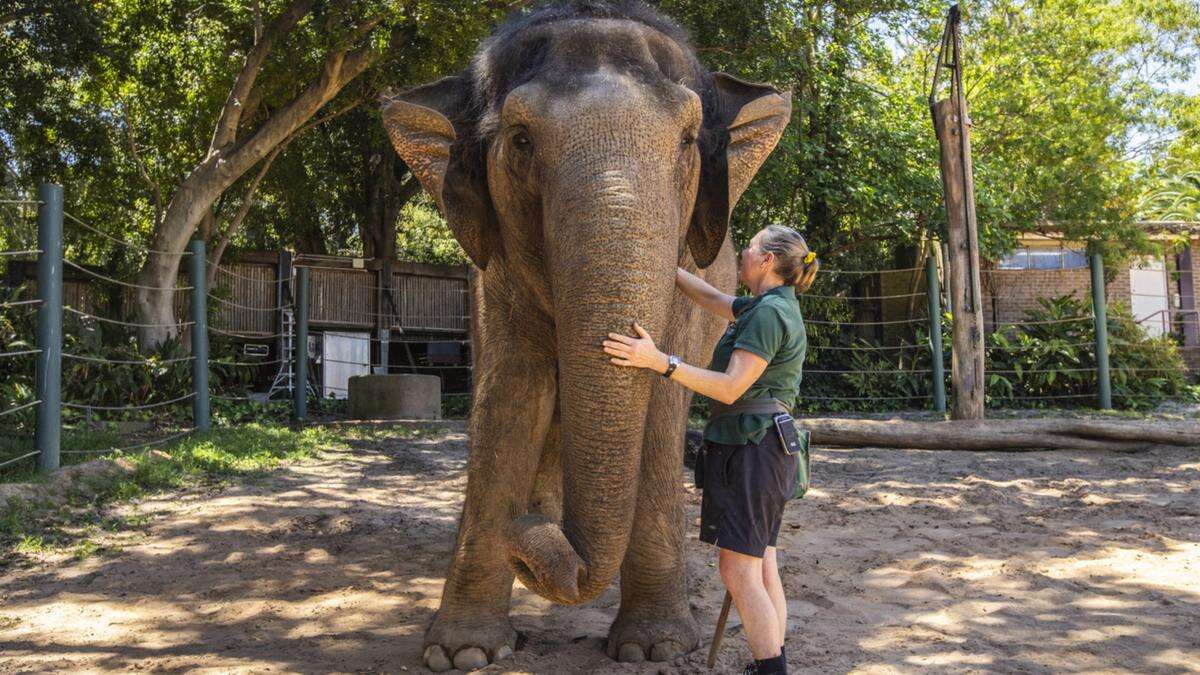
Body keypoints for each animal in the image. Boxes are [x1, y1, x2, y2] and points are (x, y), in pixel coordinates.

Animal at [381, 2, 787, 667]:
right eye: (521, 140)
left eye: (686, 141)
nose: (529, 544)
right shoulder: (496, 283)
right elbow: (509, 401)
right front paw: (462, 654)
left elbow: (661, 411)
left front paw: (653, 650)